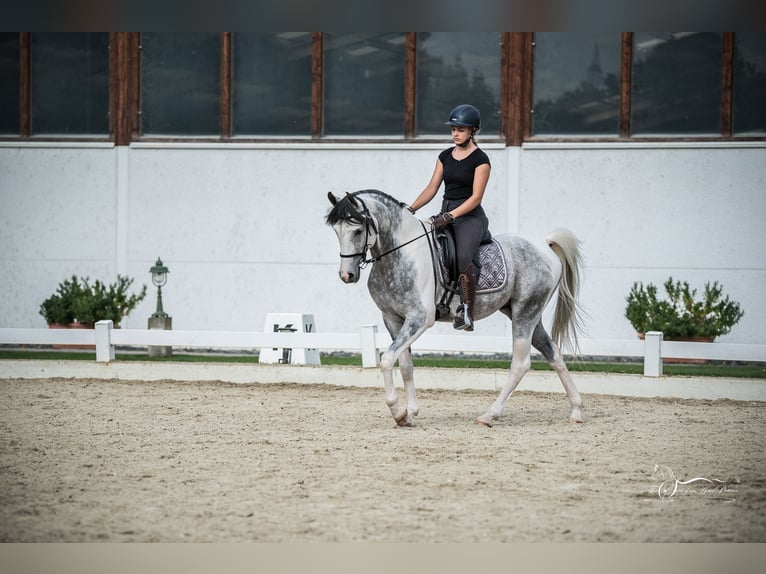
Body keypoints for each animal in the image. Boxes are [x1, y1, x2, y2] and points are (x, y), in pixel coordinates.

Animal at [326, 189, 585, 427]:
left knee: (520, 364)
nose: (347, 275)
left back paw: (489, 415)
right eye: (336, 231)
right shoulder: (393, 318)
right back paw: (576, 411)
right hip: (524, 312)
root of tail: (544, 245)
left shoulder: (420, 318)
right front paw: (410, 413)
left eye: (358, 230)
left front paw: (397, 411)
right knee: (554, 354)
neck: (401, 254)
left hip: (526, 311)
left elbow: (388, 359)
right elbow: (406, 365)